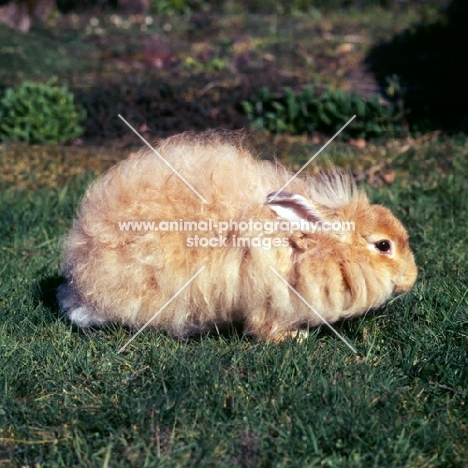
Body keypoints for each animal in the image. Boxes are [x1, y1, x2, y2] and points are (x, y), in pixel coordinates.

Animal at [58, 131, 416, 340]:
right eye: (383, 246)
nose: (411, 279)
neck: (311, 248)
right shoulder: (268, 301)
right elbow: (266, 329)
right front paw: (296, 338)